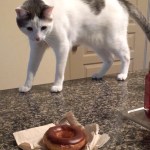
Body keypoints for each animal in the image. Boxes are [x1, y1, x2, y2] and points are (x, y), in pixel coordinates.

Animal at [15, 0, 150, 92]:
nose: (38, 38)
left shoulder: (62, 47)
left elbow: (59, 69)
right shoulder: (36, 49)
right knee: (109, 59)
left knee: (126, 56)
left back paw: (123, 74)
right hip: (96, 44)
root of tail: (121, 2)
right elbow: (30, 69)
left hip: (114, 40)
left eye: (43, 27)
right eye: (29, 28)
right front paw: (27, 86)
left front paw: (57, 85)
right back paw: (99, 74)